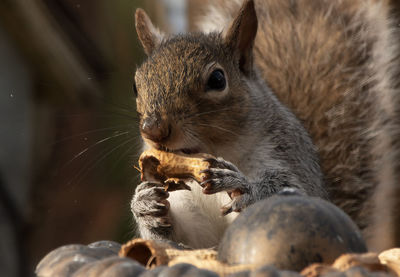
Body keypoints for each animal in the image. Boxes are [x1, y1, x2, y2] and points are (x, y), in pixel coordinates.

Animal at [130, 0, 400, 250]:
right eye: (135, 85)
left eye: (217, 79)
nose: (153, 129)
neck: (217, 151)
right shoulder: (186, 203)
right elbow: (187, 238)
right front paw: (144, 205)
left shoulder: (287, 154)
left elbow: (293, 193)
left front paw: (243, 186)